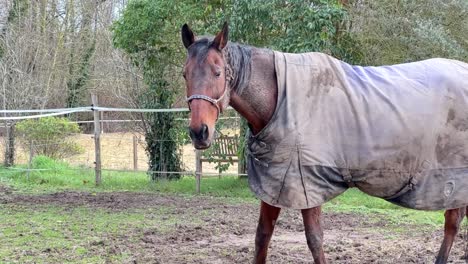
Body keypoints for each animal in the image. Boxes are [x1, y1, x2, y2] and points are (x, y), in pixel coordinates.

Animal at [181, 21, 468, 262]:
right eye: (185, 74)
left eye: (218, 72)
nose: (199, 132)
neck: (281, 99)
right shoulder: (276, 183)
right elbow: (262, 236)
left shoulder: (307, 184)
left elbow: (314, 240)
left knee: (452, 223)